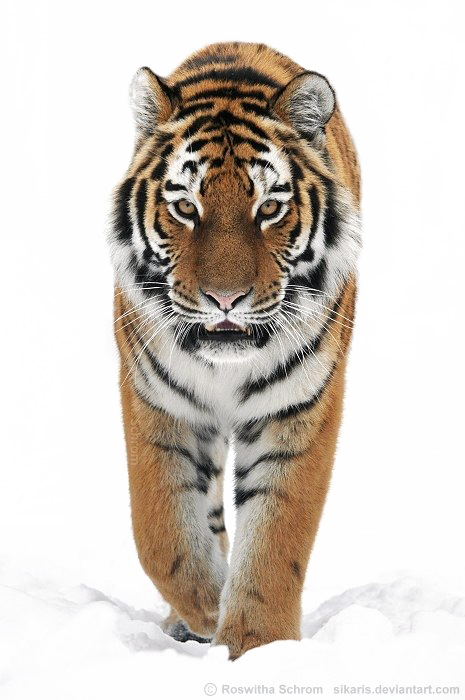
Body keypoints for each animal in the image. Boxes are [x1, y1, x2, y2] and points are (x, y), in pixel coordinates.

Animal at [108, 41, 361, 659]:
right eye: (185, 208)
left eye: (269, 209)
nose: (225, 299)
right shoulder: (157, 405)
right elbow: (160, 531)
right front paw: (204, 607)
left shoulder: (297, 410)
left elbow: (276, 541)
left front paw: (257, 647)